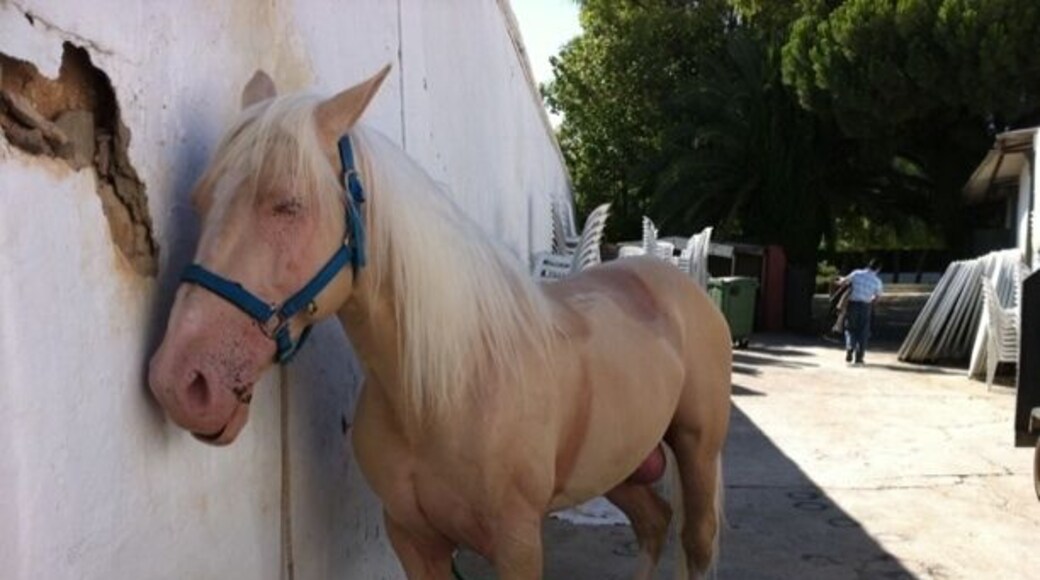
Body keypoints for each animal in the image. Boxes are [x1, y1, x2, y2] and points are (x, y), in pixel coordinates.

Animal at [148, 65, 732, 580]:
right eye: (200, 199)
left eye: (288, 204)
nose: (180, 382)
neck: (446, 390)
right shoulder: (413, 538)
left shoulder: (519, 545)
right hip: (618, 464)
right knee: (653, 524)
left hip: (698, 452)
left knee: (696, 542)